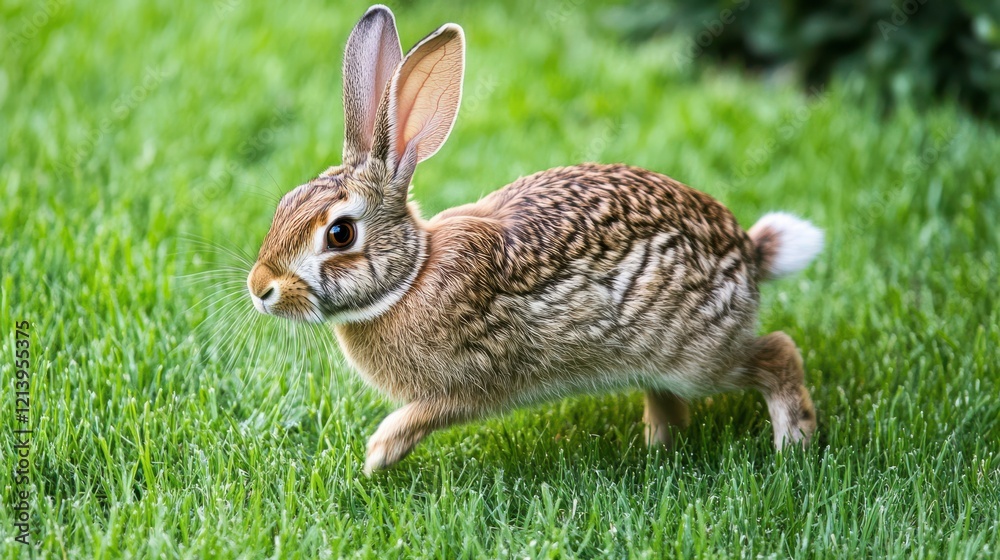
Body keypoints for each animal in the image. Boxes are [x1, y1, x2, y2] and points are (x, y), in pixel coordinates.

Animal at [245, 5, 824, 475]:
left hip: (699, 356)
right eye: (285, 203)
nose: (260, 288)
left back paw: (794, 443)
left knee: (777, 352)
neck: (411, 276)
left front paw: (378, 454)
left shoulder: (476, 380)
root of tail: (748, 252)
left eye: (340, 234)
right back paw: (657, 449)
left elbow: (429, 413)